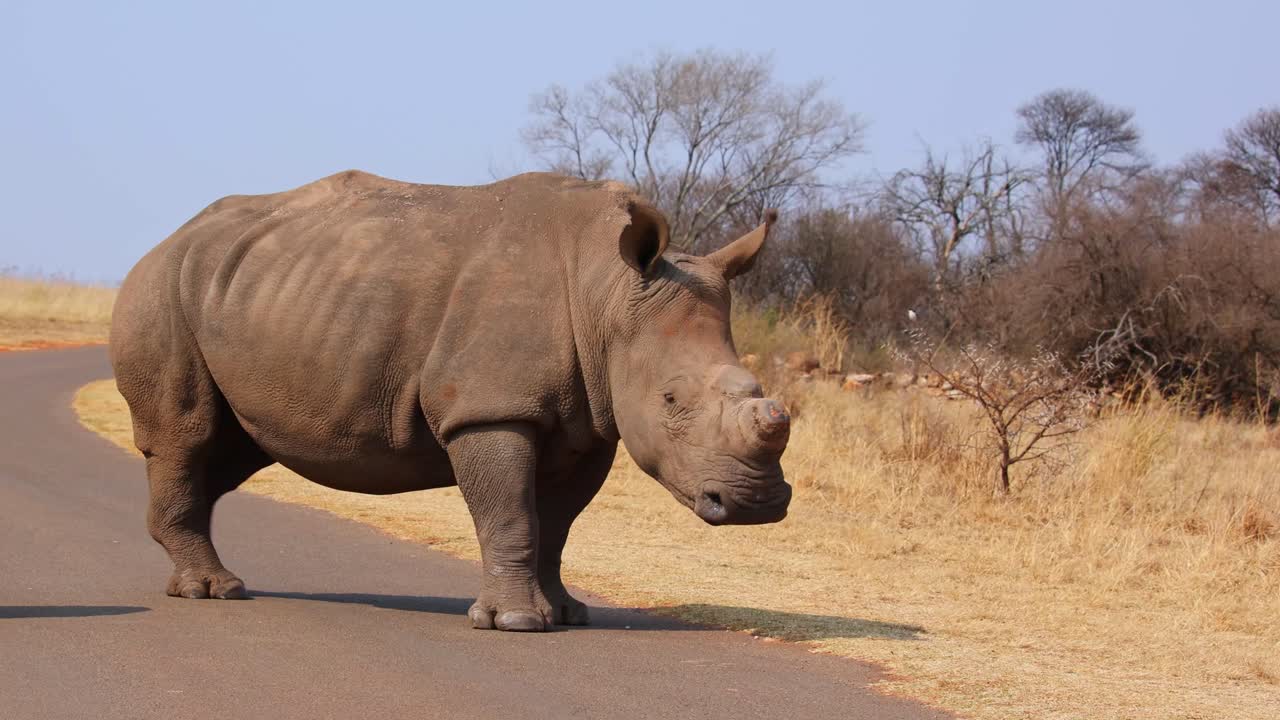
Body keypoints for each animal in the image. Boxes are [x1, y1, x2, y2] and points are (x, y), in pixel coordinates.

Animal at [110, 170, 792, 632]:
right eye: (672, 399)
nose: (755, 504)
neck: (606, 291)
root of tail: (165, 241)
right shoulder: (489, 408)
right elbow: (512, 514)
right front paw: (517, 624)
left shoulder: (591, 424)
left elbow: (558, 523)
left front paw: (567, 613)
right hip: (159, 292)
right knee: (187, 437)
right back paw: (216, 591)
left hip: (247, 295)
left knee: (228, 454)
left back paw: (201, 581)